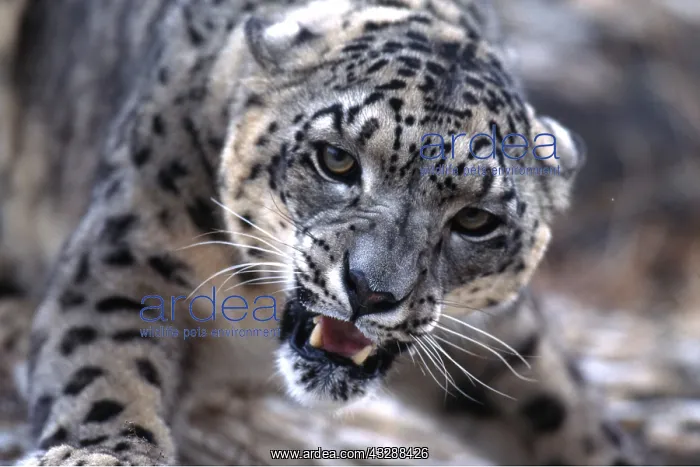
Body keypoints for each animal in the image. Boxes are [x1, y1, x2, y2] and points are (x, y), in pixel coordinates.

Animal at [0, 0, 645, 465]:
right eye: (336, 160)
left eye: (475, 219)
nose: (371, 291)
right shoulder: (133, 248)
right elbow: (104, 362)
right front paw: (103, 456)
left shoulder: (500, 340)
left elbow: (570, 420)